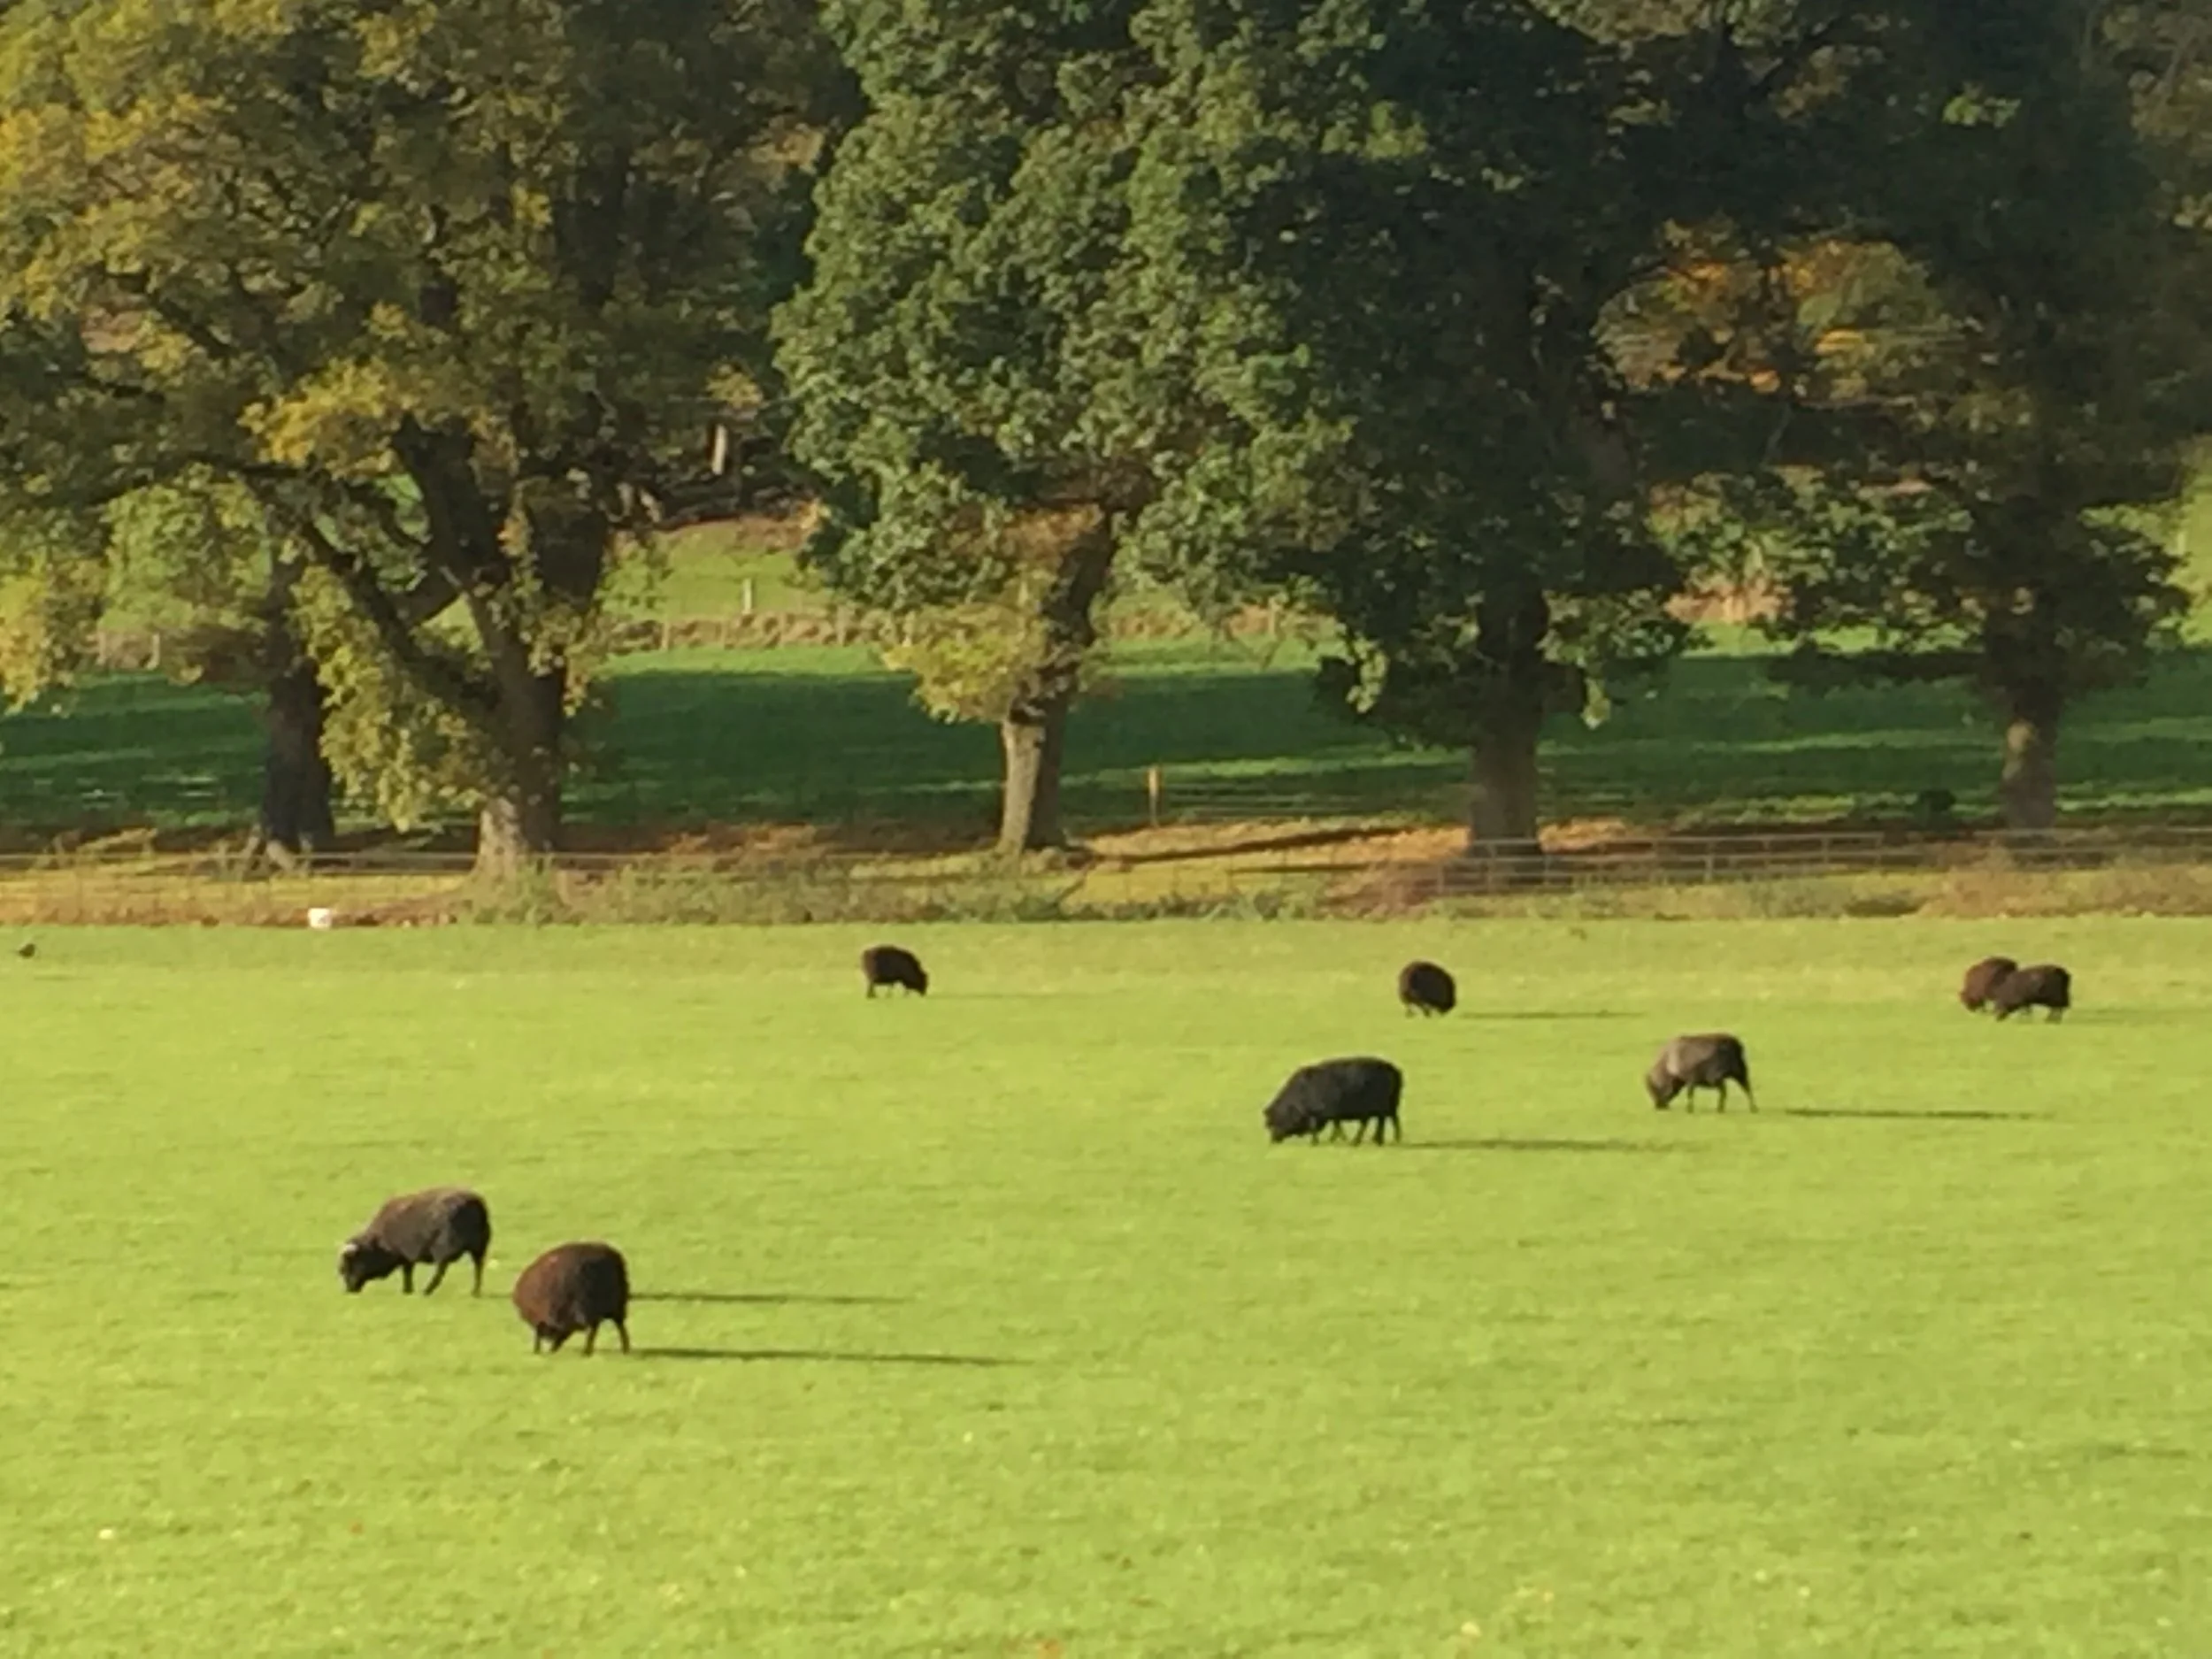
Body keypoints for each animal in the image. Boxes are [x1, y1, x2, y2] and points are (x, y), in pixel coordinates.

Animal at [338, 1186, 492, 1296]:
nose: (349, 1291)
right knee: (478, 1267)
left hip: (443, 1248)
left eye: (348, 1264)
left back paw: (427, 1291)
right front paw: (407, 1291)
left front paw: (407, 1290)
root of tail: (474, 1203)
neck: (379, 1239)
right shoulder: (405, 1257)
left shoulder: (406, 1254)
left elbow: (407, 1272)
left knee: (440, 1270)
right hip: (479, 1247)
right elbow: (408, 1271)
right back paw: (475, 1292)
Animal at [1264, 1057, 1404, 1145]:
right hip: (1387, 1108)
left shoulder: (1320, 1113)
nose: (1273, 1140)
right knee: (1384, 1121)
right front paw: (1334, 1139)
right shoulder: (1328, 1115)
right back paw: (1378, 1140)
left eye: (1272, 1122)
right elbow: (1336, 1125)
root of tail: (1394, 1070)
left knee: (1382, 1122)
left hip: (1383, 1108)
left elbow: (1322, 1126)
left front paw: (1317, 1142)